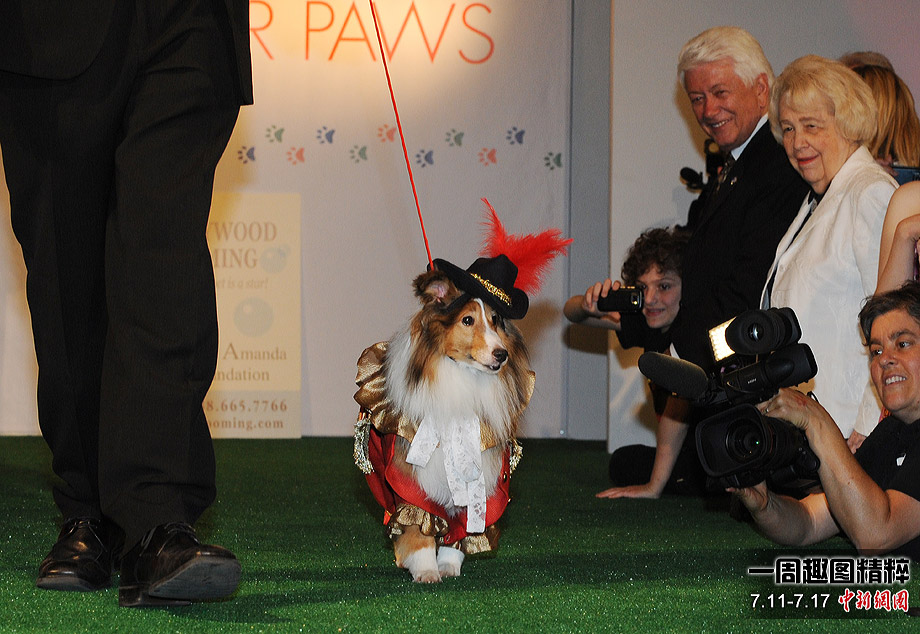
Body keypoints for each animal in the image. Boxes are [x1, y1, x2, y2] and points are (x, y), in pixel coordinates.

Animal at [354, 258, 534, 583]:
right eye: (467, 320)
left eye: (495, 320)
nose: (501, 355)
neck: (462, 376)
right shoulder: (410, 476)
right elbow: (417, 522)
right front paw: (425, 569)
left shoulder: (480, 472)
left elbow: (463, 527)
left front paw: (449, 565)